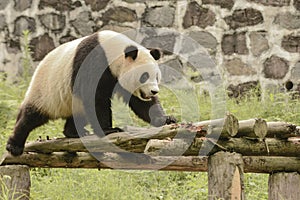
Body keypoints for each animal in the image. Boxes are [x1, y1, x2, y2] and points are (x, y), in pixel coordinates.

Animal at [6, 30, 176, 156]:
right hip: (45, 92)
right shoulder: (94, 62)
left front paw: (166, 119)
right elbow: (95, 98)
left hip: (71, 100)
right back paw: (14, 146)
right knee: (30, 117)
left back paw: (75, 132)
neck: (112, 51)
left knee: (77, 115)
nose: (154, 91)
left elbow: (140, 103)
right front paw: (109, 130)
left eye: (157, 76)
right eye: (144, 76)